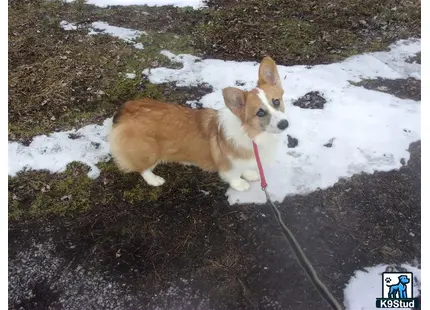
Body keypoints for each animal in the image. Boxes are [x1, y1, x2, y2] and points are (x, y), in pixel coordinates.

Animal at [108, 56, 288, 191]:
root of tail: (128, 108)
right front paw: (240, 184)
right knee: (143, 168)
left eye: (276, 101)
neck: (252, 133)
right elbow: (233, 175)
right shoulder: (228, 165)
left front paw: (250, 174)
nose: (284, 124)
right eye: (260, 112)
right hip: (149, 152)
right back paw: (155, 180)